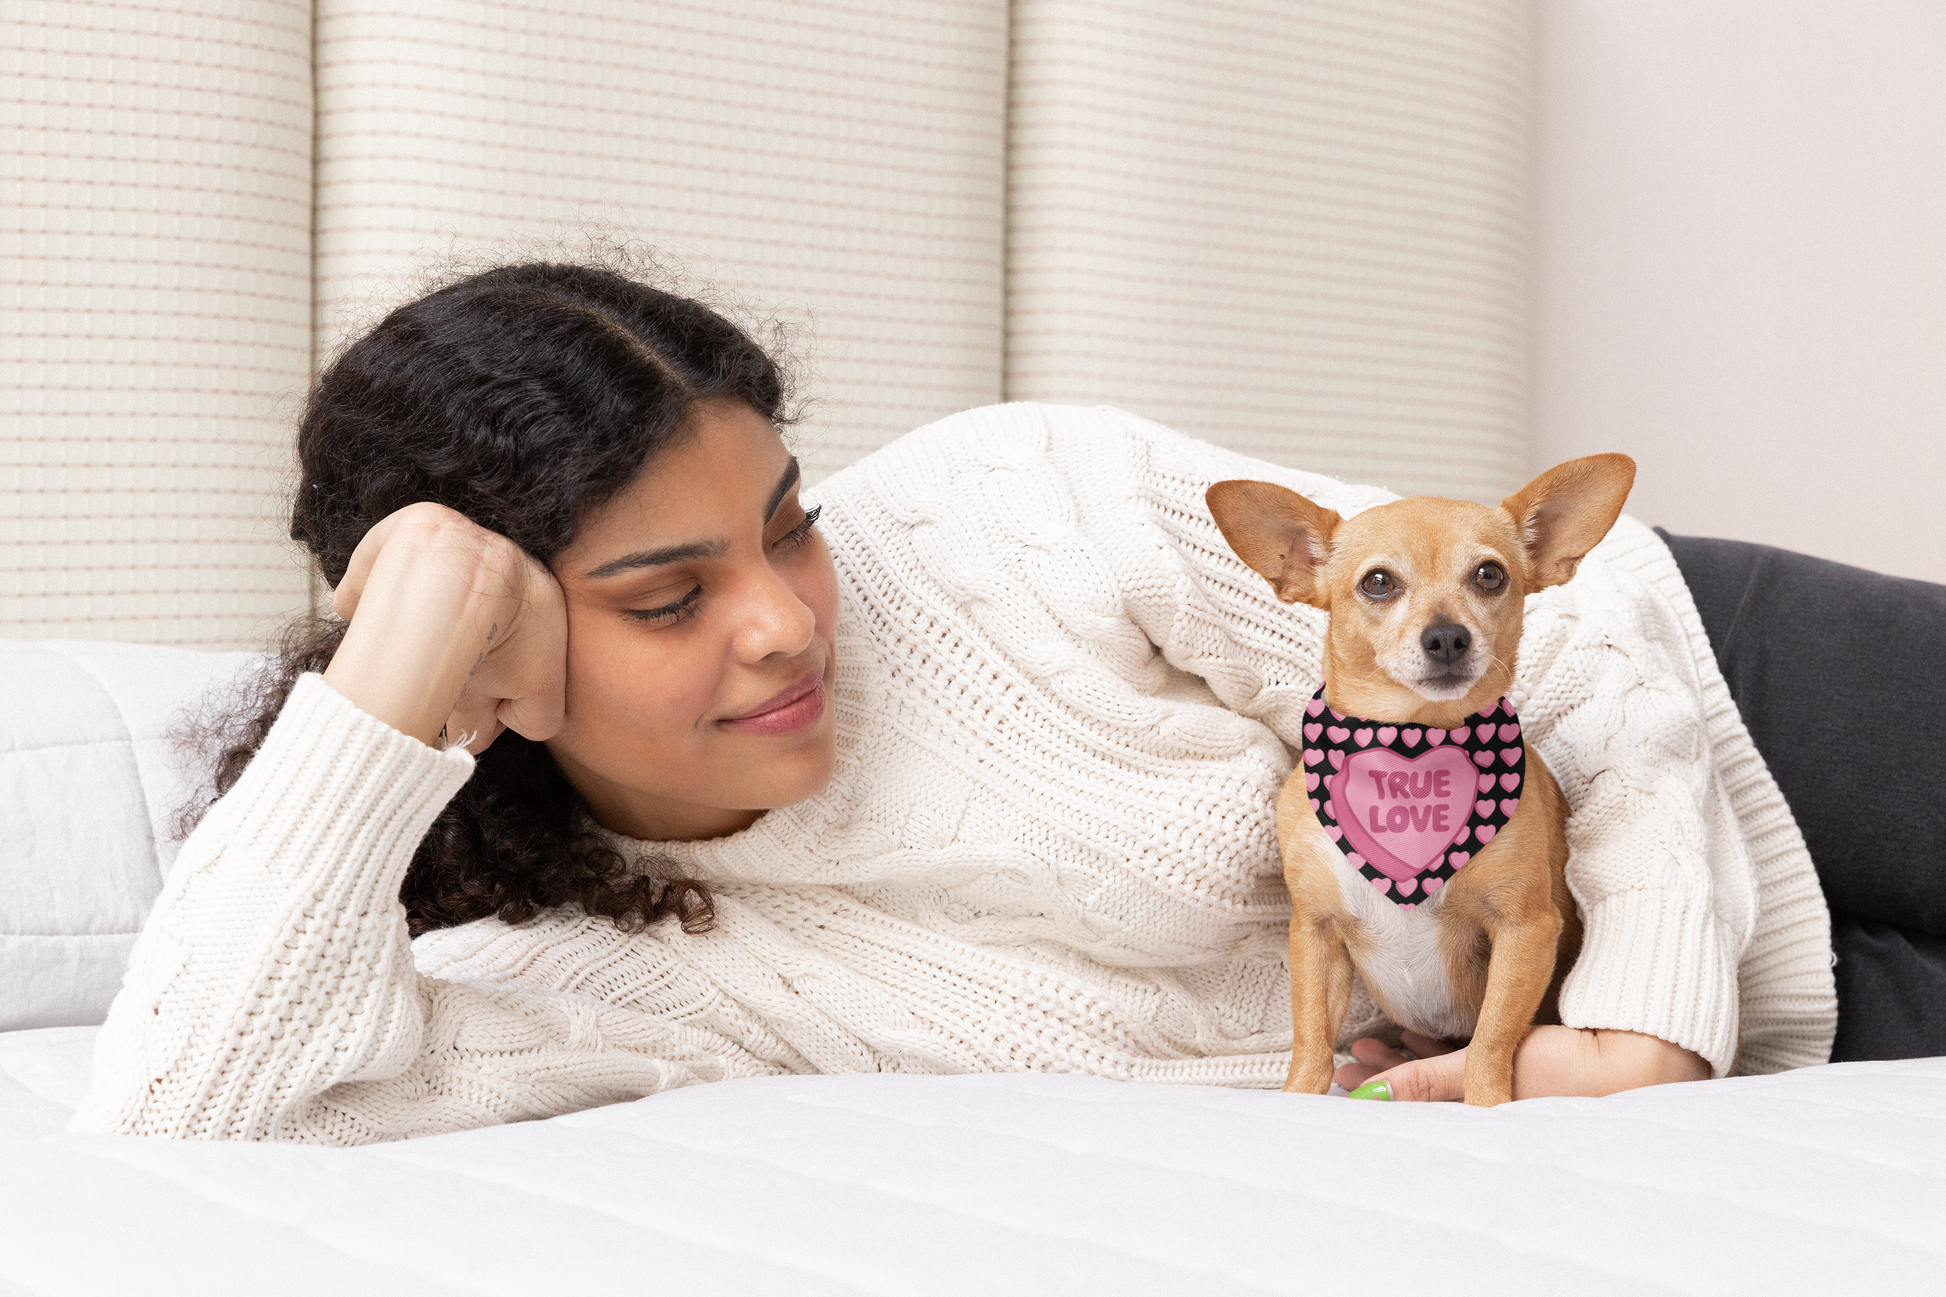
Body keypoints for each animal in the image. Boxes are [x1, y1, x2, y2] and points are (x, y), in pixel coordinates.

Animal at [1206, 451, 1634, 1098]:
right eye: (1378, 582)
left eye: (1490, 575)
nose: (1448, 636)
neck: (1413, 743)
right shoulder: (1317, 933)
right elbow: (1311, 1040)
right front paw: (1299, 1097)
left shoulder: (1525, 929)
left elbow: (1490, 1042)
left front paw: (1486, 1103)